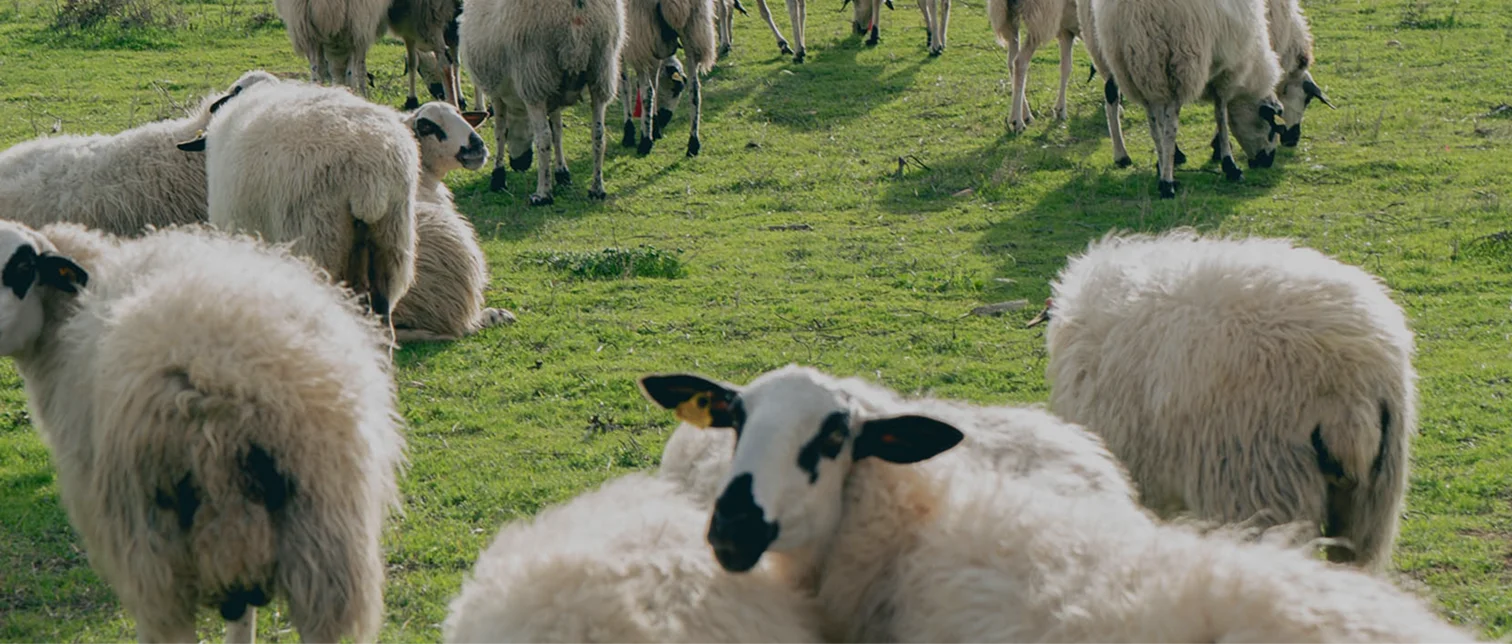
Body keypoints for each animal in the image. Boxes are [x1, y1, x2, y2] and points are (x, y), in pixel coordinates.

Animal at [461, 0, 624, 205]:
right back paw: (597, 189)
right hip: (601, 68)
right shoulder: (553, 92)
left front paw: (498, 176)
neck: (517, 109)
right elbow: (558, 131)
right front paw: (562, 173)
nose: (519, 165)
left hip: (535, 71)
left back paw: (542, 194)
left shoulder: (497, 92)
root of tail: (576, 10)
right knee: (598, 134)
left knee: (543, 137)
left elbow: (500, 132)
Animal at [619, 0, 715, 157]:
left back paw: (645, 143)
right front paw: (655, 128)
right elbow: (655, 81)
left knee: (647, 90)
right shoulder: (655, 43)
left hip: (639, 32)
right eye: (676, 89)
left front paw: (630, 133)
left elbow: (625, 86)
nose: (665, 118)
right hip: (694, 29)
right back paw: (693, 144)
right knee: (695, 89)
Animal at [989, 0, 1078, 133]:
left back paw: (1026, 116)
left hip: (1007, 16)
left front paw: (1060, 109)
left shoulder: (1066, 30)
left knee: (1011, 61)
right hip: (1040, 18)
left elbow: (1066, 67)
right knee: (1020, 61)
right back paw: (1017, 121)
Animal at [1092, 0, 1286, 198]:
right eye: (1272, 128)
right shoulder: (1225, 73)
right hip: (1178, 62)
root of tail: (1133, 9)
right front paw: (1230, 165)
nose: (1267, 162)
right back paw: (1167, 184)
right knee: (1170, 127)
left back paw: (1163, 168)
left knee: (1154, 125)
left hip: (1135, 69)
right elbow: (1221, 115)